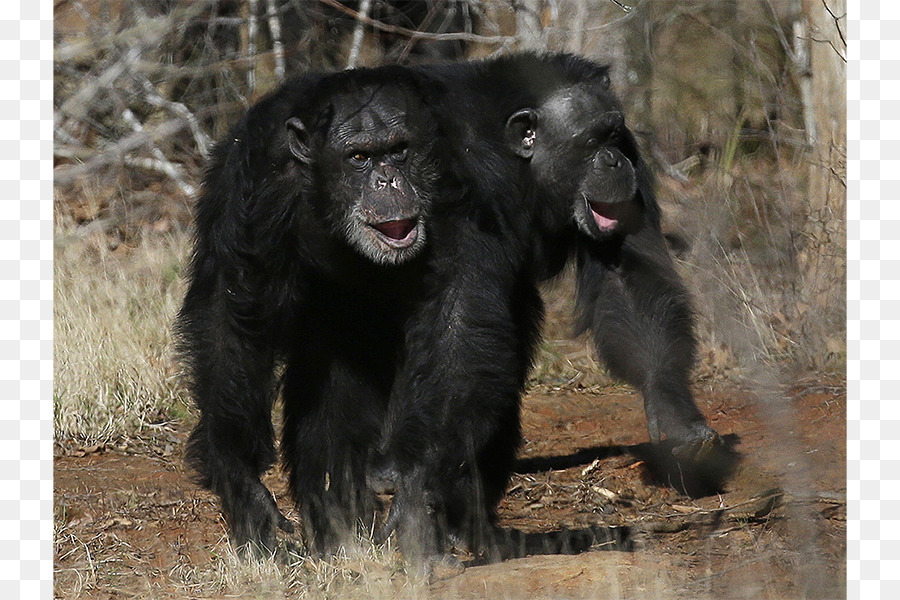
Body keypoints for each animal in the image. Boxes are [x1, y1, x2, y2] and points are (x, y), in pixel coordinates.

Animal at [175, 68, 442, 556]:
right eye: (359, 156)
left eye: (399, 150)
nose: (388, 181)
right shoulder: (255, 178)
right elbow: (235, 311)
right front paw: (240, 480)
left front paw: (415, 485)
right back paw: (340, 519)